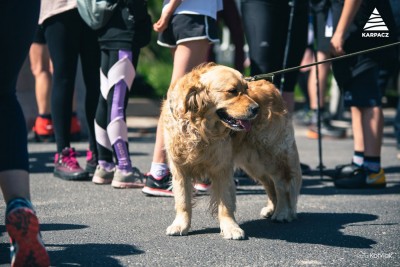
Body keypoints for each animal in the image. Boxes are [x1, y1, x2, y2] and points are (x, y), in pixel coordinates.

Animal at [161, 62, 302, 241]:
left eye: (246, 89)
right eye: (232, 91)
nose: (257, 109)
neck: (199, 129)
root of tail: (273, 88)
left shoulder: (222, 168)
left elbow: (225, 202)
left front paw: (231, 228)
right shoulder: (180, 170)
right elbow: (182, 200)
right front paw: (180, 225)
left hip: (270, 156)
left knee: (281, 183)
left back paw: (282, 212)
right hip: (254, 163)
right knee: (269, 183)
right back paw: (272, 208)